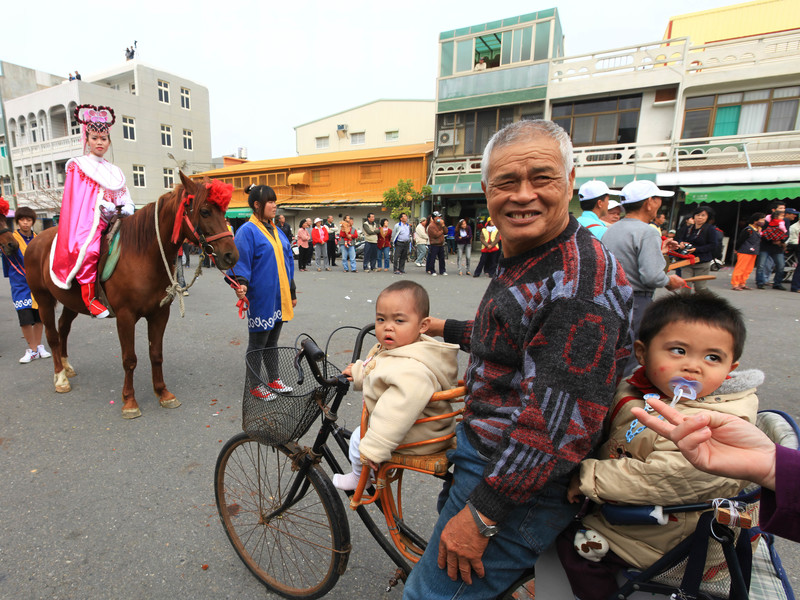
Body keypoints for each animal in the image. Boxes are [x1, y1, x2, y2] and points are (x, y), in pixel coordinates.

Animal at [24, 171, 238, 420]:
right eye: (204, 211)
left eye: (224, 212)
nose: (231, 255)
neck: (142, 254)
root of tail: (37, 239)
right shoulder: (125, 317)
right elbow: (129, 359)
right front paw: (129, 400)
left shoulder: (159, 314)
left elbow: (156, 353)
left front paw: (163, 393)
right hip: (43, 299)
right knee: (52, 335)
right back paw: (60, 377)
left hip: (71, 302)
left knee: (63, 328)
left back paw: (67, 367)